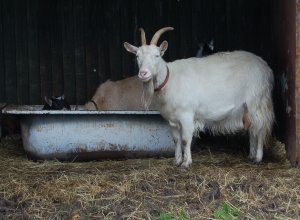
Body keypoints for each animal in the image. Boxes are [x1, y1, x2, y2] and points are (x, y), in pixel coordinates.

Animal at [123, 27, 274, 167]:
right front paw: (176, 161)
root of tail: (265, 68)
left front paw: (186, 163)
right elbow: (176, 140)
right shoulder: (172, 119)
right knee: (252, 129)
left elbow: (185, 139)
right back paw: (251, 155)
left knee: (259, 128)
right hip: (247, 107)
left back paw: (258, 157)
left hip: (257, 101)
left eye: (157, 56)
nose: (143, 73)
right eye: (137, 56)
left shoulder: (186, 114)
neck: (170, 79)